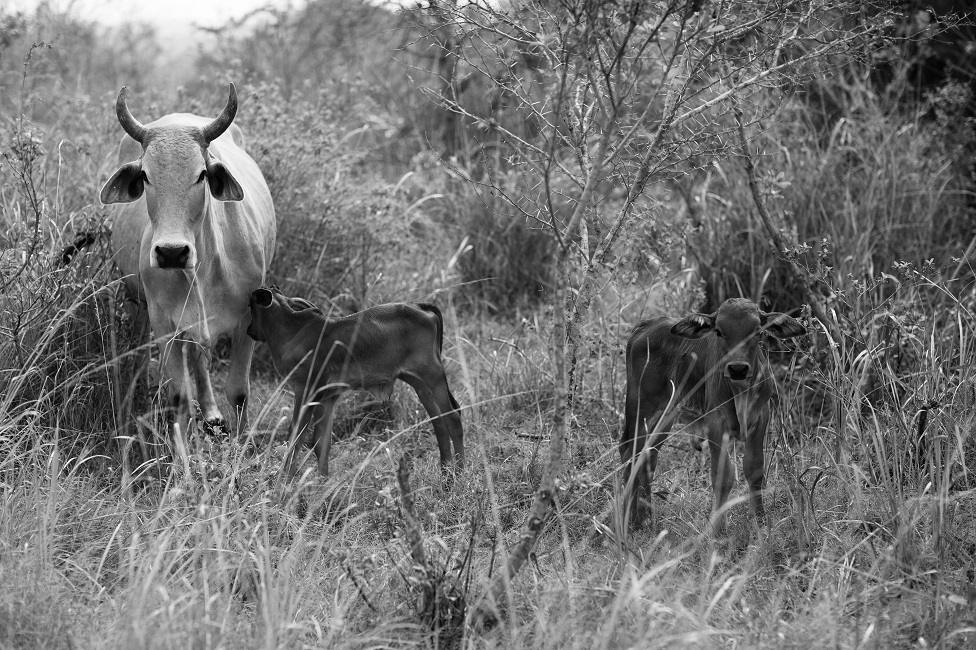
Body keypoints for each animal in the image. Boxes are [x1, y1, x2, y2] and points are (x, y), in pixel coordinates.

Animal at [100, 85, 274, 430]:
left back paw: (211, 411)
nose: (171, 252)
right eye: (145, 175)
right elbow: (179, 398)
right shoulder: (164, 323)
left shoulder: (248, 320)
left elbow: (238, 393)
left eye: (202, 174)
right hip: (138, 302)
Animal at [246, 288, 464, 476]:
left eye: (251, 306)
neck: (292, 331)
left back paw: (459, 474)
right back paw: (446, 473)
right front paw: (323, 482)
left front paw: (284, 479)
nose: (249, 330)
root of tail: (419, 306)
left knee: (453, 418)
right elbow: (321, 443)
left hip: (433, 377)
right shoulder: (328, 398)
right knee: (439, 422)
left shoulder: (305, 391)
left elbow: (296, 436)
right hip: (421, 384)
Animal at [620, 298, 804, 532]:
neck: (740, 391)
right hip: (642, 408)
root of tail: (646, 325)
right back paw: (626, 520)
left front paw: (760, 520)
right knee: (629, 453)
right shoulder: (716, 423)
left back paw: (645, 519)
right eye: (718, 331)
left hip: (666, 416)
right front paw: (717, 528)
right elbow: (722, 475)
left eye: (757, 331)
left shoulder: (761, 418)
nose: (737, 368)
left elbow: (754, 469)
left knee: (647, 457)